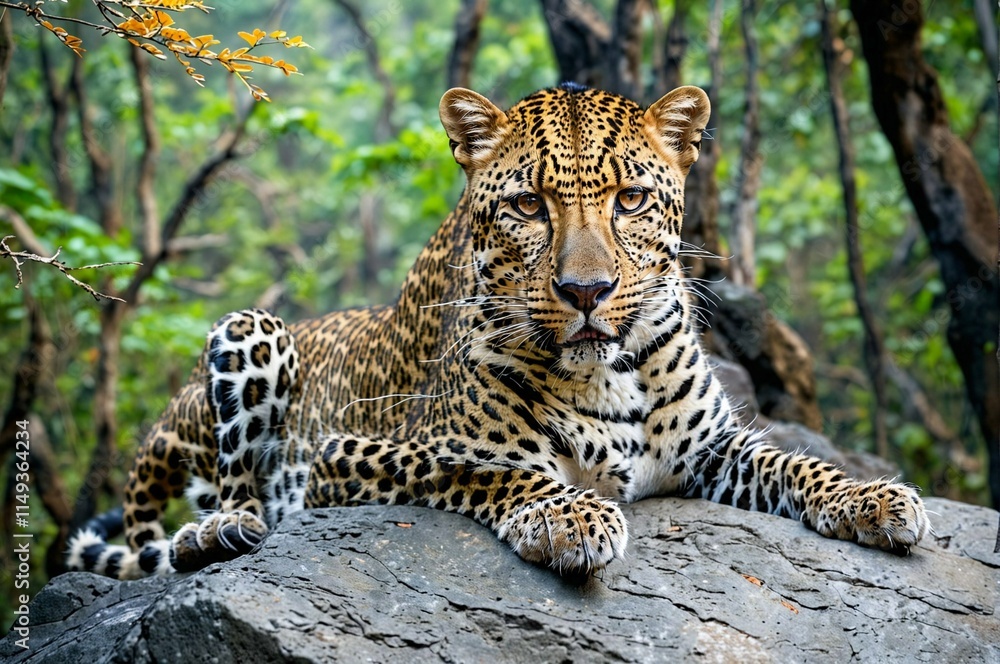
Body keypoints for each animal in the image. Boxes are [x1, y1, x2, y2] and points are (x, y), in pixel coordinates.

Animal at [67, 83, 929, 581]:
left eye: (629, 199)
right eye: (527, 207)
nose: (586, 291)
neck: (606, 370)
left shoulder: (715, 449)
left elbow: (796, 463)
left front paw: (875, 498)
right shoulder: (353, 456)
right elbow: (487, 469)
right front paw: (570, 515)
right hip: (252, 330)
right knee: (221, 498)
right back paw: (213, 534)